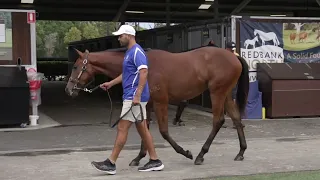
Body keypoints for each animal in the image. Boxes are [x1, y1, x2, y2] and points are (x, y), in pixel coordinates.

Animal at [65, 46, 250, 166]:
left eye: (75, 66)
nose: (68, 89)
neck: (144, 68)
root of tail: (233, 56)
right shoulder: (146, 105)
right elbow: (144, 129)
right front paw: (139, 158)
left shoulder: (161, 102)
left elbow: (163, 132)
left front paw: (185, 153)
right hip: (225, 94)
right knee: (236, 118)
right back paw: (241, 152)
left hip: (217, 93)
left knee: (218, 121)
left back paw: (200, 155)